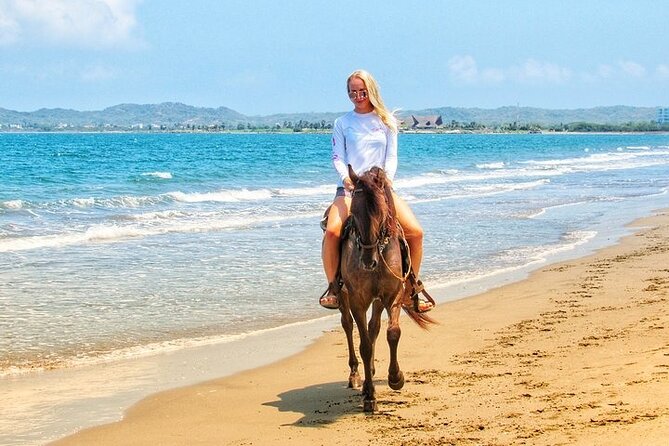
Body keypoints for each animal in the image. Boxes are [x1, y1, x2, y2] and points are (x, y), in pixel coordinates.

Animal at [336, 164, 435, 412]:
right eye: (354, 213)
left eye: (380, 214)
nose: (368, 261)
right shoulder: (358, 301)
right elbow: (364, 345)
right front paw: (370, 397)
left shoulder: (392, 295)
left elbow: (392, 333)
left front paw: (395, 378)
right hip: (343, 297)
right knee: (347, 325)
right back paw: (356, 376)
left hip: (379, 300)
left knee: (374, 328)